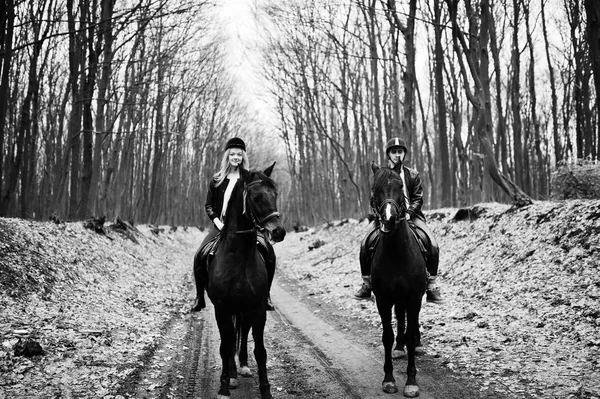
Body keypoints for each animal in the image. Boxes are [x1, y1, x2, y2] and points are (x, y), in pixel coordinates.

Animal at [207, 163, 288, 399]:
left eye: (275, 195)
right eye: (256, 197)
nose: (278, 232)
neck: (239, 258)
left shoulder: (258, 307)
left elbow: (260, 351)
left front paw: (266, 390)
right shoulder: (222, 309)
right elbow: (225, 347)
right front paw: (224, 387)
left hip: (244, 309)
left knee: (242, 332)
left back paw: (242, 366)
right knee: (229, 339)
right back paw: (233, 374)